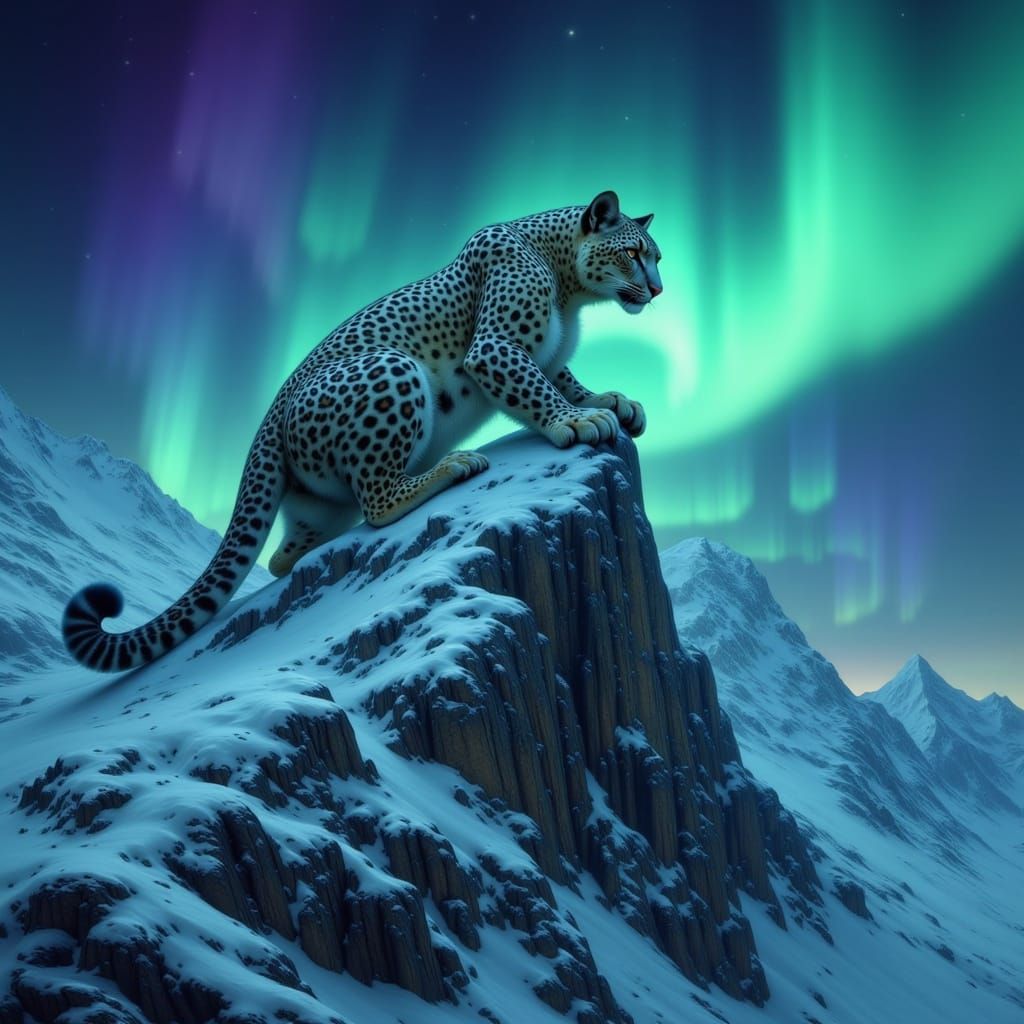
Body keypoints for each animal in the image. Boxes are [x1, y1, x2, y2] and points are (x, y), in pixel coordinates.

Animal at [62, 190, 663, 672]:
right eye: (635, 253)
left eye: (656, 257)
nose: (658, 290)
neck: (566, 276)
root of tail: (266, 421)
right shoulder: (494, 347)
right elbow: (535, 389)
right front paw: (579, 421)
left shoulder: (542, 355)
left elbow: (561, 379)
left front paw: (609, 400)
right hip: (395, 368)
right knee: (376, 501)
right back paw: (449, 466)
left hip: (317, 503)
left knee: (283, 556)